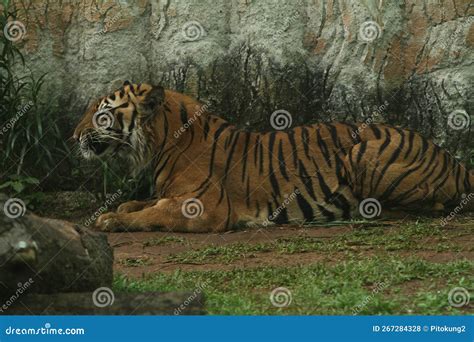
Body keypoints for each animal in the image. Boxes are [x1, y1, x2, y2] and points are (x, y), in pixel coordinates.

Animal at [72, 81, 472, 234]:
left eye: (101, 113)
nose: (73, 136)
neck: (159, 143)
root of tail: (454, 159)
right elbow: (141, 204)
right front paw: (121, 208)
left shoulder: (203, 206)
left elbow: (152, 213)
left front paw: (109, 219)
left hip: (362, 151)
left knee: (427, 208)